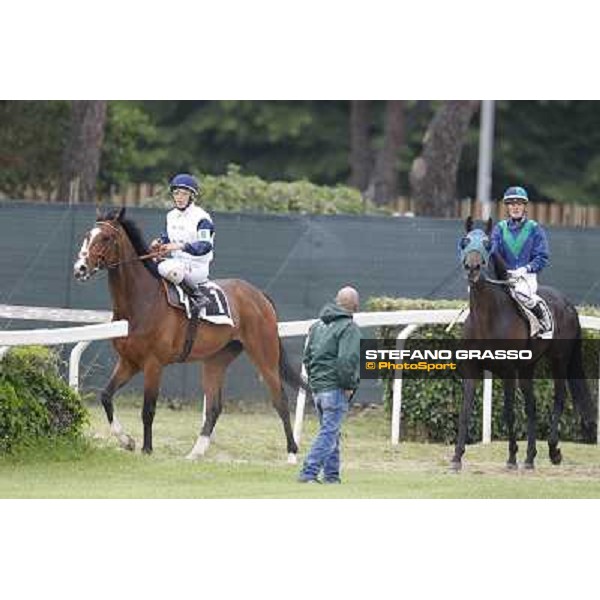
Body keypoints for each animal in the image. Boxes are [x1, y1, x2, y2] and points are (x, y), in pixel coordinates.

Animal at [73, 207, 304, 464]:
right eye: (87, 235)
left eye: (105, 238)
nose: (80, 268)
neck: (141, 302)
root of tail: (259, 295)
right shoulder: (129, 362)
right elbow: (105, 396)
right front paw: (127, 441)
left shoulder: (153, 364)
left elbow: (148, 409)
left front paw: (147, 448)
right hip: (216, 360)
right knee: (214, 406)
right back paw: (195, 452)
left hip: (264, 355)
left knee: (280, 400)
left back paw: (292, 453)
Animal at [450, 218, 596, 472]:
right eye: (465, 241)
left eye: (487, 244)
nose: (473, 267)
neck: (487, 317)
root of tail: (568, 304)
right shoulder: (472, 370)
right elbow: (465, 411)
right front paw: (457, 457)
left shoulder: (508, 371)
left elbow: (509, 412)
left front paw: (511, 457)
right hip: (528, 366)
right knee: (532, 405)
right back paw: (530, 457)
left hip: (559, 359)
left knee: (559, 397)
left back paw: (553, 450)